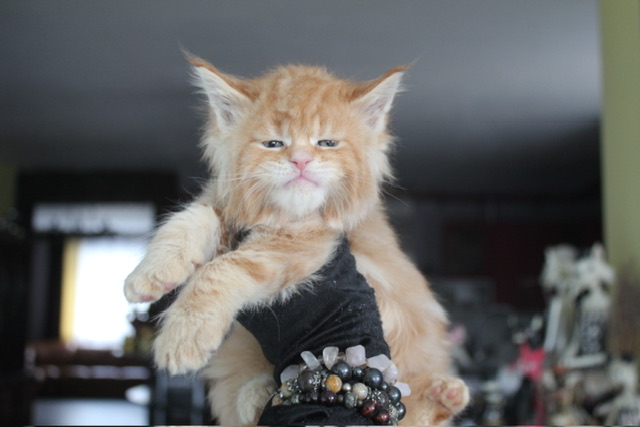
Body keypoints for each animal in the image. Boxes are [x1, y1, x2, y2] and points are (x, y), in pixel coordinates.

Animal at [124, 56, 469, 425]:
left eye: (326, 143)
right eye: (273, 144)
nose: (300, 160)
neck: (286, 217)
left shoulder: (306, 246)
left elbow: (222, 269)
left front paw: (182, 337)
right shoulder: (225, 209)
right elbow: (188, 220)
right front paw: (148, 275)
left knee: (415, 410)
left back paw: (445, 393)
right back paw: (258, 393)